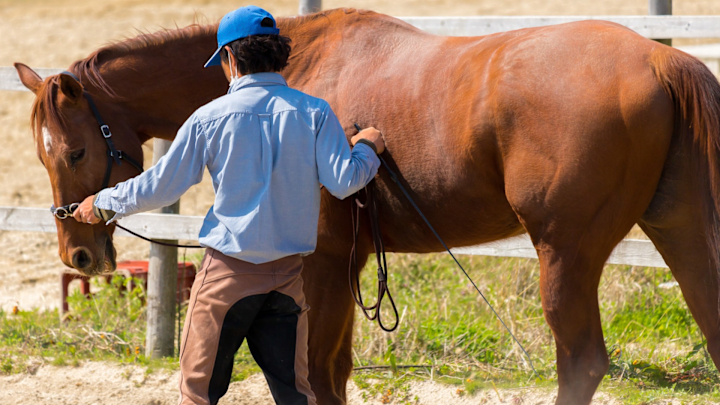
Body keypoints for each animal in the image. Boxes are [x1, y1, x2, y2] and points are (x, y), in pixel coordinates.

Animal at [12, 7, 720, 404]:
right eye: (41, 154)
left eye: (73, 151)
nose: (78, 252)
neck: (295, 72)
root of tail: (660, 61)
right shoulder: (350, 263)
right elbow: (334, 371)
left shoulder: (323, 262)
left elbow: (319, 377)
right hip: (681, 232)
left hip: (565, 254)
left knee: (581, 363)